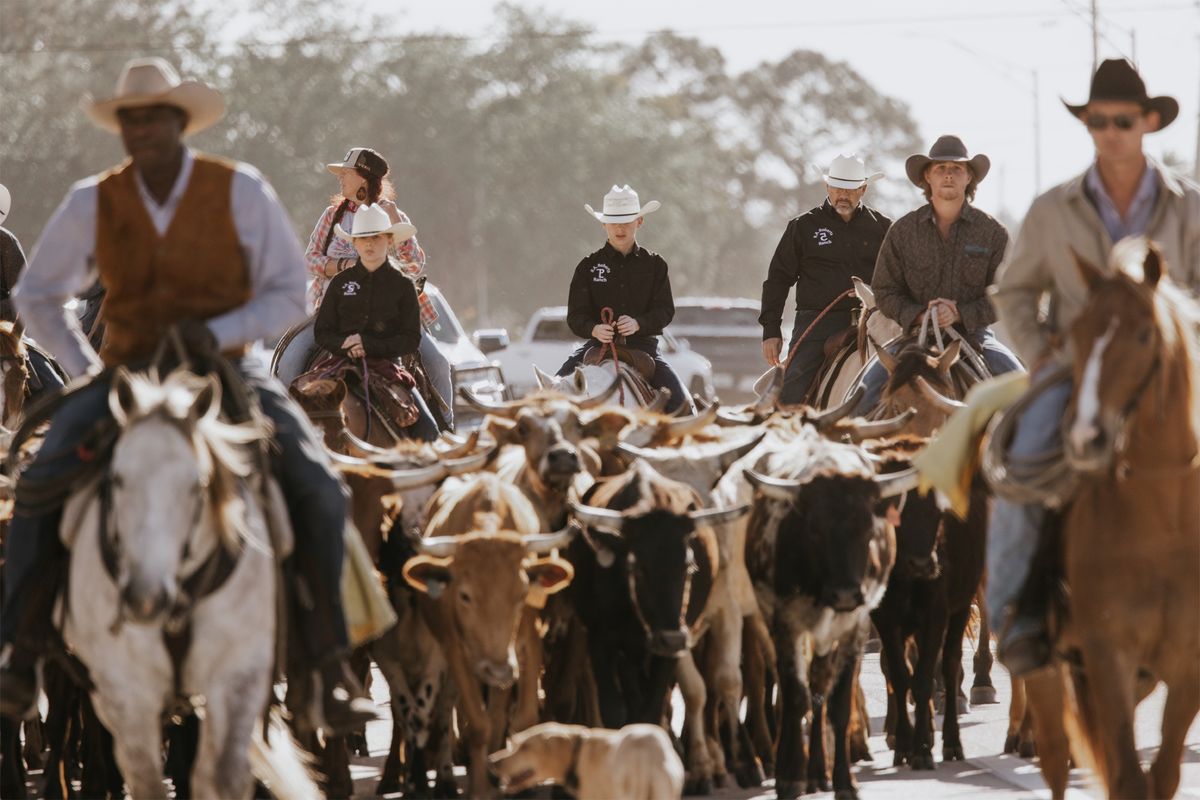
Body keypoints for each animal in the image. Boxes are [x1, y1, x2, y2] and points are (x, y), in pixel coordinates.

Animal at [61, 371, 316, 800]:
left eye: (198, 484)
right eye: (116, 479)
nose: (145, 599)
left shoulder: (240, 673)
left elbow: (223, 775)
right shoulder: (125, 691)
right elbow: (146, 779)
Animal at [1022, 244, 1200, 800]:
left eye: (1144, 334)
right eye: (1075, 335)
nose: (1084, 438)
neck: (1164, 525)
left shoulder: (1188, 665)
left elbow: (1161, 775)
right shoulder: (1107, 655)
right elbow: (1127, 776)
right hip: (1048, 668)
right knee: (1055, 757)